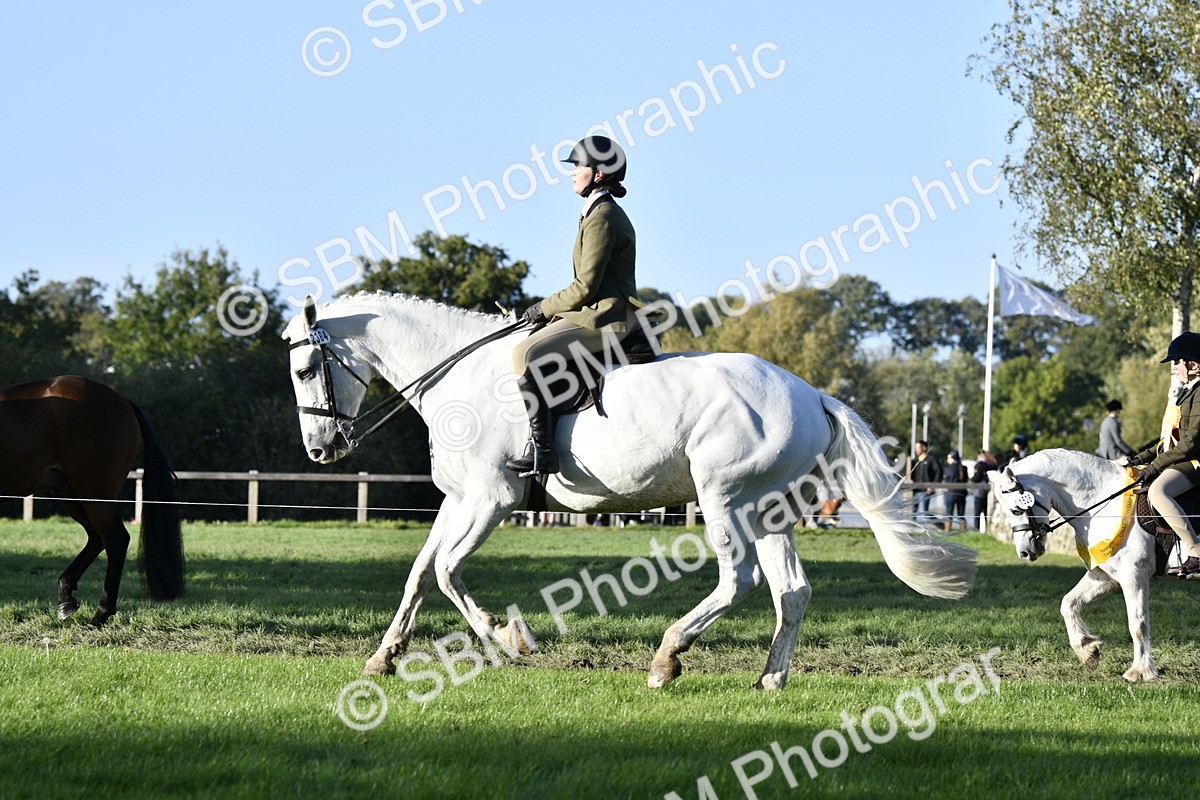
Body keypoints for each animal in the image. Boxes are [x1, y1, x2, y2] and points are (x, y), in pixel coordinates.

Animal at [0, 375, 185, 626]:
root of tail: (123, 401)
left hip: (95, 494)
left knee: (115, 540)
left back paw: (100, 614)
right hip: (71, 494)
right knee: (97, 539)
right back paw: (66, 597)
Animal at [283, 292, 976, 689]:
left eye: (305, 369)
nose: (320, 451)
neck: (461, 374)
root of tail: (811, 394)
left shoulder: (491, 499)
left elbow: (450, 572)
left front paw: (508, 641)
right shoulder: (459, 499)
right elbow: (422, 573)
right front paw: (384, 658)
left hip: (723, 498)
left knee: (739, 580)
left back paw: (667, 659)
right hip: (766, 508)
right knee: (791, 591)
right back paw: (769, 680)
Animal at [987, 449, 1162, 682]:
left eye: (1016, 510)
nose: (1024, 553)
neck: (1105, 504)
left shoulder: (1135, 574)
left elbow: (1138, 623)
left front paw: (1140, 671)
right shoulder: (1105, 576)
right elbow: (1068, 603)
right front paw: (1087, 650)